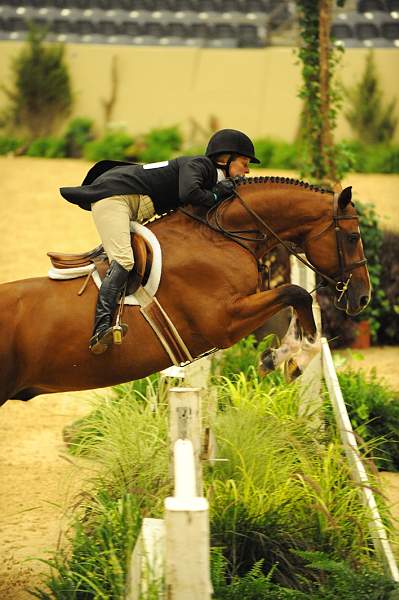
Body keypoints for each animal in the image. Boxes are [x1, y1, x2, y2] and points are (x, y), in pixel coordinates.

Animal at [0, 176, 372, 406]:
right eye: (353, 237)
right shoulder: (223, 323)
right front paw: (296, 358)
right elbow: (298, 293)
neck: (223, 235)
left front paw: (279, 357)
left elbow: (294, 306)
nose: (363, 296)